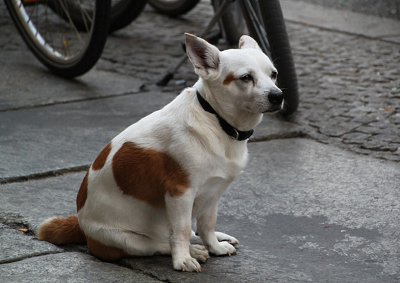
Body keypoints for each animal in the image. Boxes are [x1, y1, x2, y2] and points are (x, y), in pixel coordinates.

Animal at [36, 32, 282, 272]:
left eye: (274, 74)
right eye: (246, 77)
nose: (278, 96)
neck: (215, 119)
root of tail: (81, 226)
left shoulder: (213, 192)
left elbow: (207, 225)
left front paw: (215, 246)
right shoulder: (180, 193)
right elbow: (181, 231)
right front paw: (182, 260)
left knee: (187, 234)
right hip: (127, 240)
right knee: (161, 243)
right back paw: (193, 251)